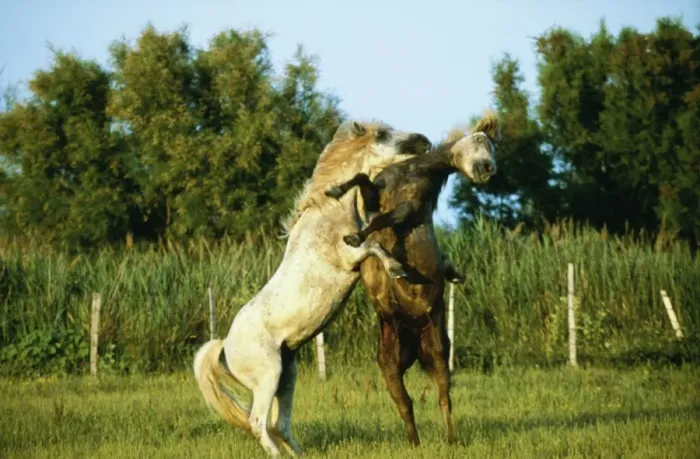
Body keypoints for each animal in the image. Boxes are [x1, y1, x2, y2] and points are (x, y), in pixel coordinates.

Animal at [193, 119, 432, 457]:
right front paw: (399, 270)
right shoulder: (350, 257)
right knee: (259, 423)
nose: (425, 141)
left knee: (279, 424)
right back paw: (275, 454)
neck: (329, 212)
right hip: (268, 378)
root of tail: (225, 347)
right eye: (383, 135)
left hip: (287, 378)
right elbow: (373, 246)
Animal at [325, 112, 499, 445]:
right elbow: (361, 181)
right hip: (390, 366)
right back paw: (414, 443)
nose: (488, 169)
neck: (413, 173)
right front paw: (336, 191)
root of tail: (415, 340)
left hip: (439, 352)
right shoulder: (374, 195)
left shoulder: (407, 209)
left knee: (444, 398)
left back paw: (450, 440)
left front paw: (357, 238)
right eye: (481, 140)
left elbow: (382, 220)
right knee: (405, 404)